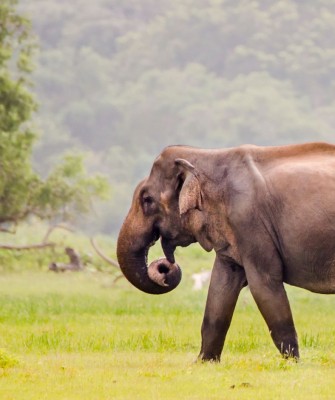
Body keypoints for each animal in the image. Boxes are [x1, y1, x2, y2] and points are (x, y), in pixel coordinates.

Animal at [117, 142, 335, 360]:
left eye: (147, 199)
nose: (166, 267)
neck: (209, 156)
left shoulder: (249, 222)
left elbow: (263, 284)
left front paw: (292, 363)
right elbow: (221, 285)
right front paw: (203, 363)